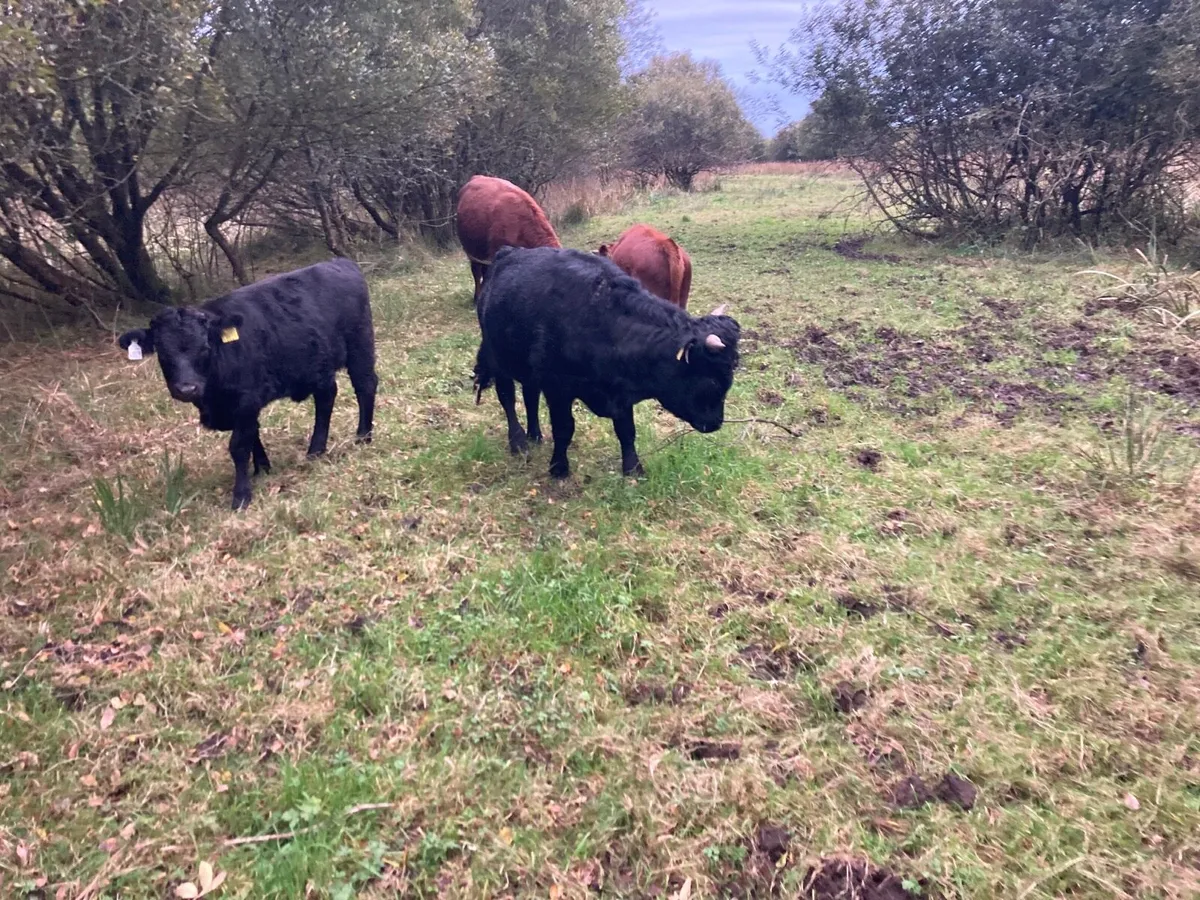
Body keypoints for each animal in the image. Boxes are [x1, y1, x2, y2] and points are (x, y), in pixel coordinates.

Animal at [117, 258, 378, 510]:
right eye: (162, 353)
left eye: (204, 348)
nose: (187, 388)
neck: (213, 400)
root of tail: (341, 263)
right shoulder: (239, 408)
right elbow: (253, 434)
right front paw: (262, 468)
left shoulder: (246, 399)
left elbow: (239, 445)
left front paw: (241, 495)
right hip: (319, 366)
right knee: (326, 396)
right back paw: (316, 450)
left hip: (360, 345)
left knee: (365, 385)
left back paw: (362, 437)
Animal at [473, 246, 740, 480]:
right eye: (713, 381)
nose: (715, 423)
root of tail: (506, 253)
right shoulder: (557, 387)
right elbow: (564, 428)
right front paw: (559, 468)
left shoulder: (621, 393)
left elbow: (627, 431)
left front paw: (633, 469)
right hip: (497, 358)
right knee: (507, 398)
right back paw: (518, 442)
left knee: (530, 396)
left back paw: (535, 435)